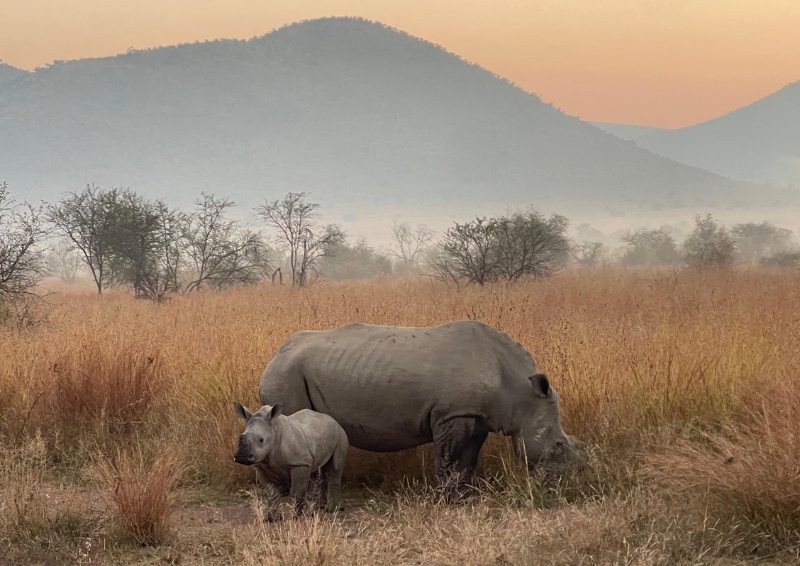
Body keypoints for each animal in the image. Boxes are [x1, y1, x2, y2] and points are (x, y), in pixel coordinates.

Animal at [258, 320, 583, 489]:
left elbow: (469, 458)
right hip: (287, 374)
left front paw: (465, 494)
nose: (569, 480)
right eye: (558, 447)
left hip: (290, 370)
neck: (519, 391)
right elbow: (448, 457)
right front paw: (444, 497)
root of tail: (274, 354)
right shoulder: (452, 414)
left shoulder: (476, 415)